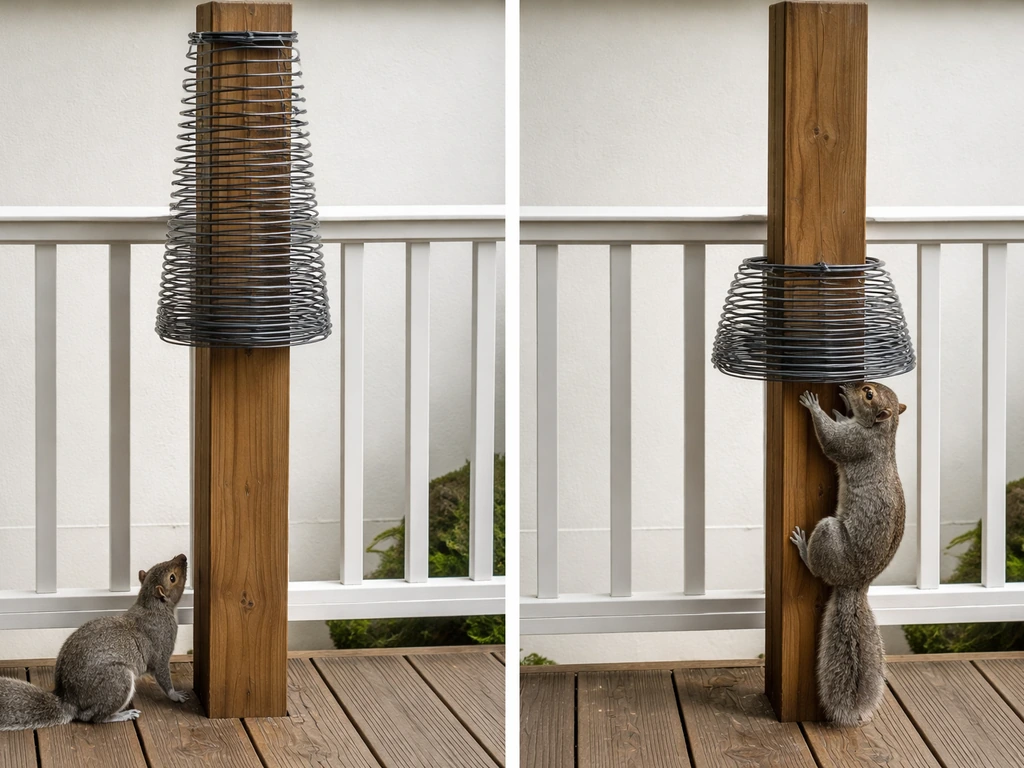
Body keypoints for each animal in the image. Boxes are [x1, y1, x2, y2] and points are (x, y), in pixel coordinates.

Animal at [0, 554, 189, 730]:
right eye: (172, 578)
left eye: (157, 565)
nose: (183, 557)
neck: (152, 606)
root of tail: (69, 700)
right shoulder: (162, 645)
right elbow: (162, 674)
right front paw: (176, 695)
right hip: (117, 681)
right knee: (93, 717)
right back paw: (122, 715)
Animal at [790, 382, 907, 727]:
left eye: (868, 394)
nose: (849, 385)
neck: (883, 432)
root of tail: (855, 583)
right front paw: (841, 409)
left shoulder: (857, 445)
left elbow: (832, 442)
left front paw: (814, 406)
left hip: (829, 535)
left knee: (817, 567)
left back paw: (804, 549)